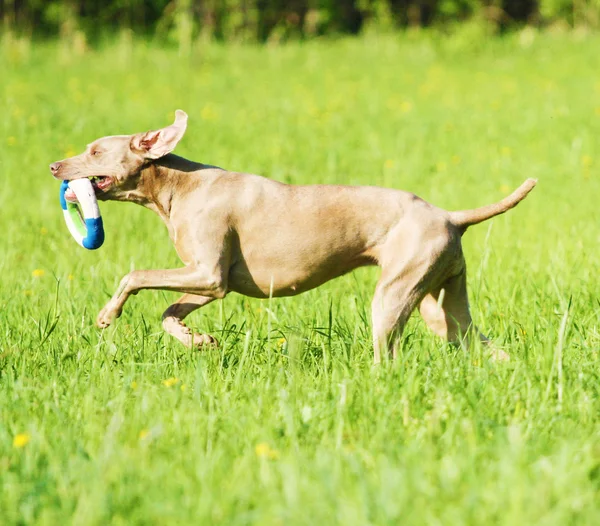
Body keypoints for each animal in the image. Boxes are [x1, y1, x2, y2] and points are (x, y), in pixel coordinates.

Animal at [51, 112, 536, 364]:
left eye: (95, 151)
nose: (55, 166)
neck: (176, 186)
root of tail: (450, 216)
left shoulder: (208, 274)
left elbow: (134, 276)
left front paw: (107, 315)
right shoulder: (211, 281)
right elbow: (170, 313)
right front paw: (199, 341)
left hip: (393, 297)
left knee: (388, 356)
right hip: (444, 306)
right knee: (481, 343)